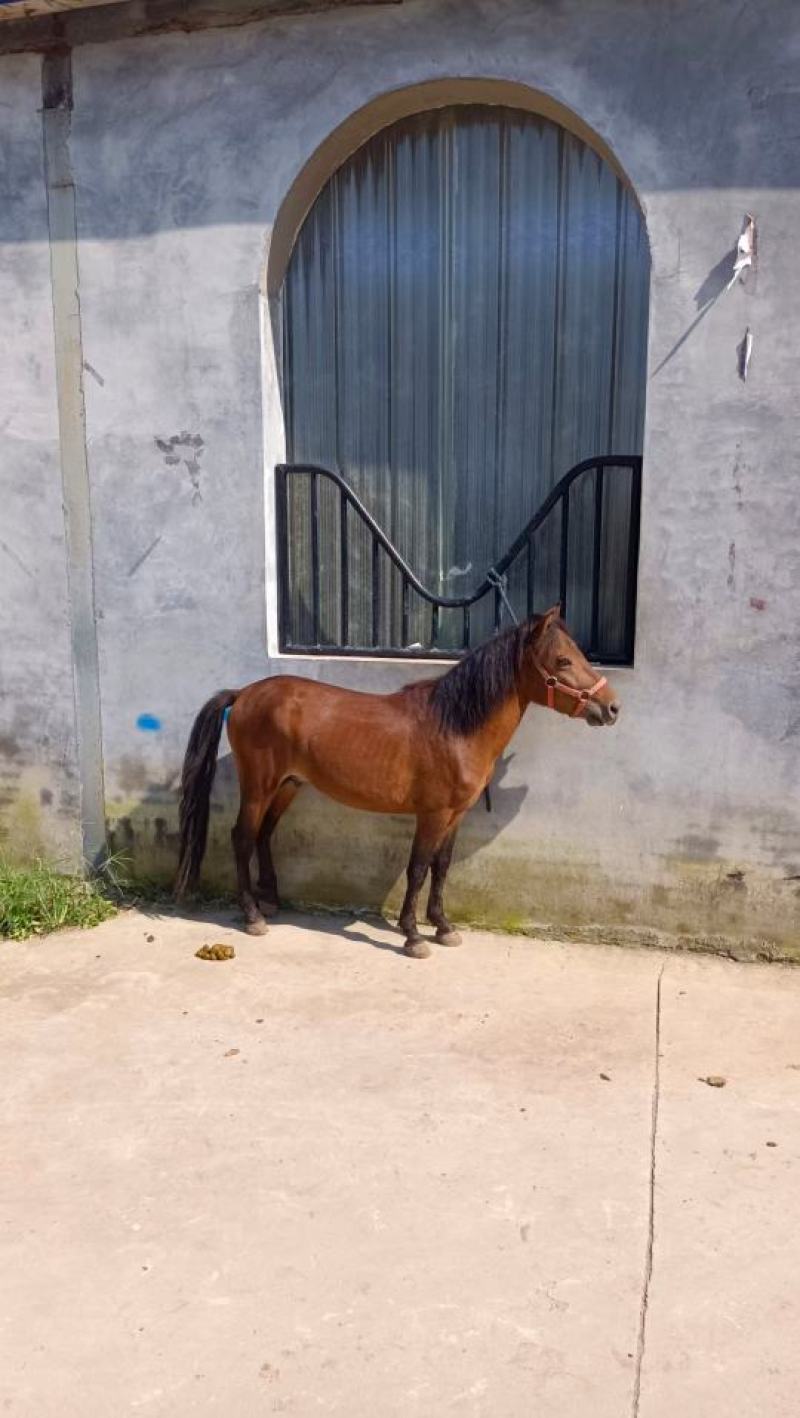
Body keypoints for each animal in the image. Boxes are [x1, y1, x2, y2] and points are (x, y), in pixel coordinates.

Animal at [175, 605, 620, 957]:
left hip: (288, 785)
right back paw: (252, 915)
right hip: (259, 787)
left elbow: (442, 866)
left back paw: (270, 901)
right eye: (562, 661)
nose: (611, 707)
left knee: (264, 835)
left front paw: (443, 927)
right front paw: (413, 936)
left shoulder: (456, 815)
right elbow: (419, 868)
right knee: (242, 837)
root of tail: (243, 694)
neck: (454, 727)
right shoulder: (433, 814)